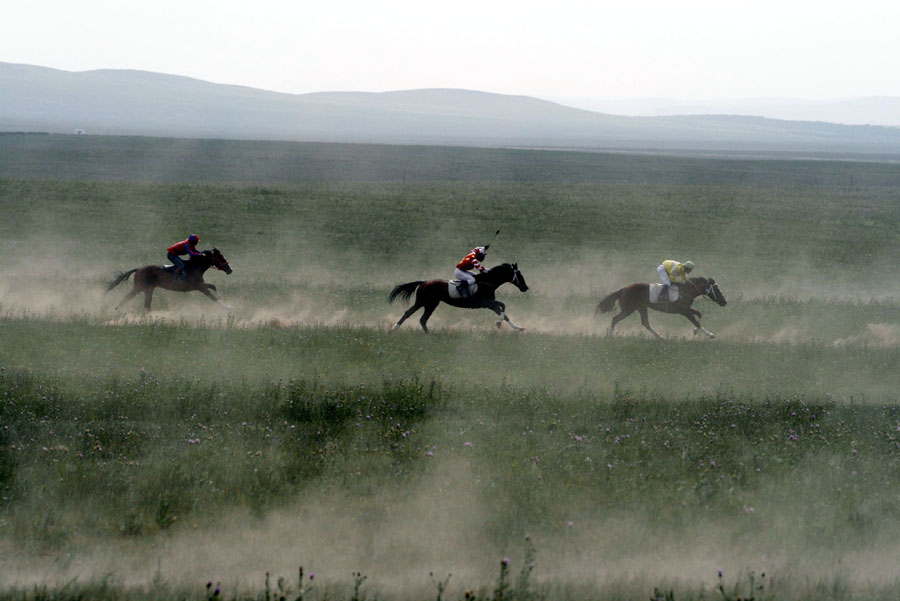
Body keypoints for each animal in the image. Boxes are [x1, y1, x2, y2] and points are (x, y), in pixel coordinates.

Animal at [104, 248, 236, 312]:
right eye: (220, 257)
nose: (230, 270)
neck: (195, 267)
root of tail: (138, 269)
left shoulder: (200, 285)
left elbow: (212, 286)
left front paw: (227, 304)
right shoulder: (198, 286)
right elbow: (212, 296)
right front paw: (227, 306)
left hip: (148, 289)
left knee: (147, 304)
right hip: (139, 287)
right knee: (127, 298)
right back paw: (116, 310)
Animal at [390, 262, 532, 332]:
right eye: (519, 274)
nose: (525, 287)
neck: (487, 281)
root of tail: (424, 282)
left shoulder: (489, 305)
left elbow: (504, 313)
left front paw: (519, 328)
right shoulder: (486, 303)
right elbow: (503, 305)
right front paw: (498, 324)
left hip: (430, 304)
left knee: (421, 319)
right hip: (424, 302)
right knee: (411, 314)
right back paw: (393, 329)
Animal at [596, 276, 728, 338]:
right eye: (717, 289)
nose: (724, 302)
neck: (688, 290)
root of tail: (624, 289)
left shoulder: (686, 309)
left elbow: (699, 314)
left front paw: (695, 332)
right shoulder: (684, 311)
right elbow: (696, 321)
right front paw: (710, 335)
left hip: (641, 308)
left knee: (645, 323)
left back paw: (660, 337)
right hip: (629, 309)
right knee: (615, 319)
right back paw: (610, 336)